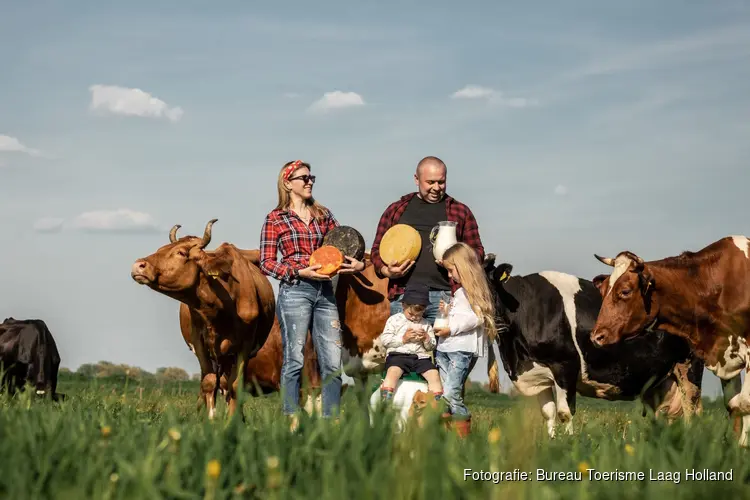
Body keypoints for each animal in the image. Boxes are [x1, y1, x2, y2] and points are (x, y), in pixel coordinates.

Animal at [131, 221, 276, 420]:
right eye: (161, 249)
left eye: (181, 253)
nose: (138, 265)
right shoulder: (199, 342)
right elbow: (209, 383)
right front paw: (210, 419)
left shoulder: (245, 346)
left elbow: (235, 386)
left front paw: (233, 421)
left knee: (227, 385)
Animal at [482, 262, 740, 438]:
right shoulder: (539, 373)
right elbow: (548, 413)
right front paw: (551, 443)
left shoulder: (565, 365)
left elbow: (565, 412)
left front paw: (567, 444)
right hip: (660, 381)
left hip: (689, 366)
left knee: (691, 408)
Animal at [592, 236, 750, 448]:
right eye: (603, 291)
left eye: (625, 291)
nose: (596, 336)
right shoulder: (725, 353)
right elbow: (734, 405)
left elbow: (745, 402)